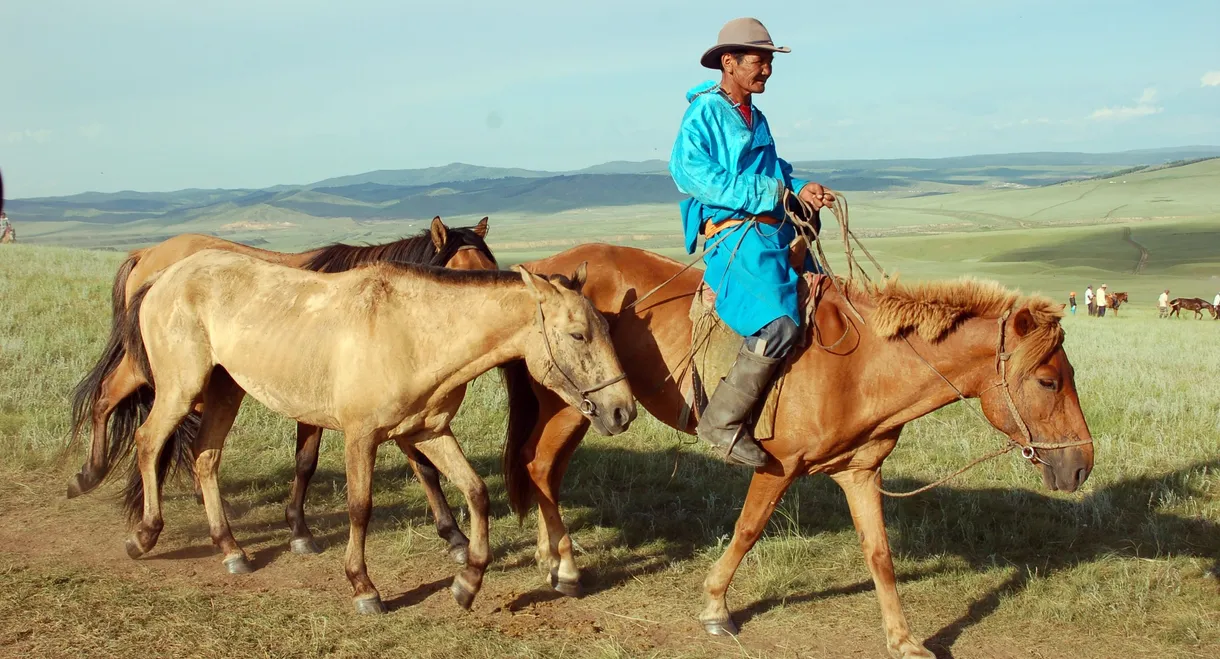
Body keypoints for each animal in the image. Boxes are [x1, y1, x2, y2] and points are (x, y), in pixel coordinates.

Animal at [64, 218, 495, 558]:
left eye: (490, 266)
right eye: (458, 271)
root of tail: (150, 255)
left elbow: (419, 466)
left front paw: (454, 536)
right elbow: (312, 462)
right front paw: (300, 532)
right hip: (158, 370)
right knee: (109, 399)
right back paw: (92, 477)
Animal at [92, 248, 639, 612]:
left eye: (607, 329)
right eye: (578, 335)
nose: (622, 412)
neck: (413, 333)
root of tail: (165, 275)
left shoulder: (427, 433)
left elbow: (477, 493)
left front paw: (467, 581)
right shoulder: (361, 437)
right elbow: (360, 508)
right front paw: (364, 587)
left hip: (226, 390)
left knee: (205, 457)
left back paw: (232, 550)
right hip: (181, 388)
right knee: (148, 442)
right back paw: (143, 535)